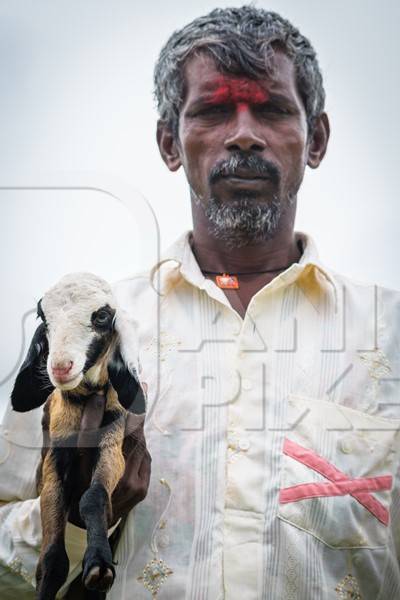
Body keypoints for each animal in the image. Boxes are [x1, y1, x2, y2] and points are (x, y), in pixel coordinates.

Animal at [10, 274, 146, 600]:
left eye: (102, 316)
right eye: (42, 315)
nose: (60, 367)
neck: (85, 398)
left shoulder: (111, 443)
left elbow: (93, 497)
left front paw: (99, 566)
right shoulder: (55, 457)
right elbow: (52, 560)